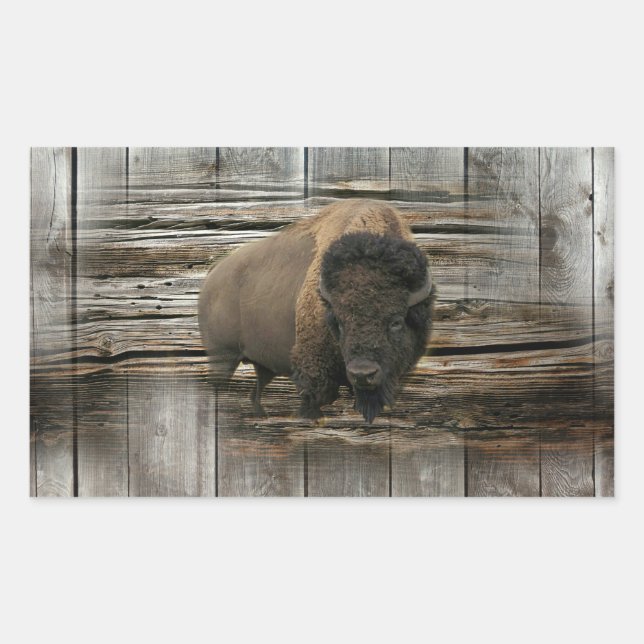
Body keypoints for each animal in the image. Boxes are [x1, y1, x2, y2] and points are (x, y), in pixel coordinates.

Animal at [198, 199, 434, 423]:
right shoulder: (314, 370)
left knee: (255, 393)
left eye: (396, 322)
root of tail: (212, 274)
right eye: (339, 321)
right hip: (222, 357)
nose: (362, 373)